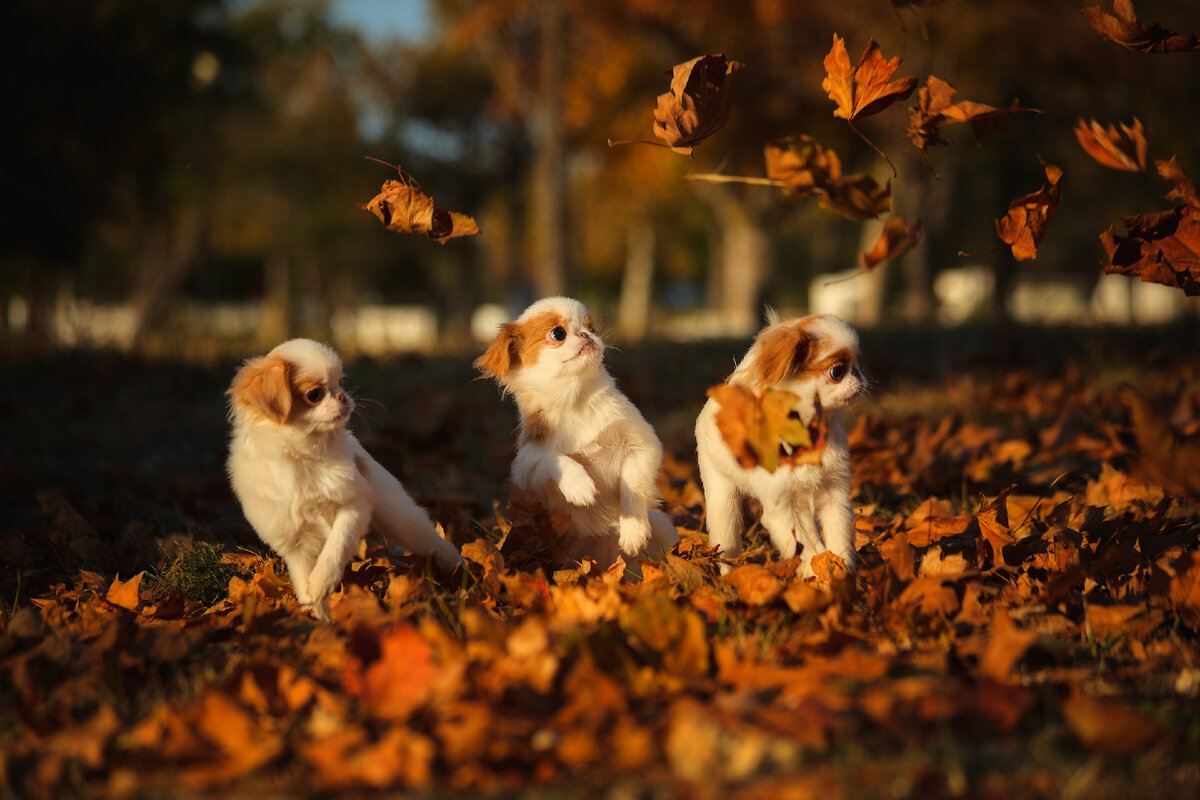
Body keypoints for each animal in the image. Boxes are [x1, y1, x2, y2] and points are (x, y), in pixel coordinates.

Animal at [226, 335, 460, 618]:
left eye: (341, 382)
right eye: (314, 394)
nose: (342, 395)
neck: (303, 454)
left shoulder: (354, 505)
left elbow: (336, 548)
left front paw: (322, 582)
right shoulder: (296, 546)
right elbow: (305, 586)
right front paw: (322, 617)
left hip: (403, 521)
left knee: (437, 544)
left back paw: (464, 573)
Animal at [477, 298, 686, 568]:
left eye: (592, 328)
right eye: (558, 334)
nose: (587, 335)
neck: (576, 401)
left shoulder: (642, 444)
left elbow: (633, 486)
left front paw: (633, 530)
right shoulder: (527, 469)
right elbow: (553, 458)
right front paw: (579, 485)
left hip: (663, 527)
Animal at [696, 311, 864, 582]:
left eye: (857, 363)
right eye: (837, 371)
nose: (860, 377)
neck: (807, 434)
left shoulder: (833, 492)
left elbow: (837, 535)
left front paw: (842, 570)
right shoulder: (781, 507)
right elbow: (801, 546)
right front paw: (813, 573)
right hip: (723, 501)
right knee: (726, 542)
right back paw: (729, 578)